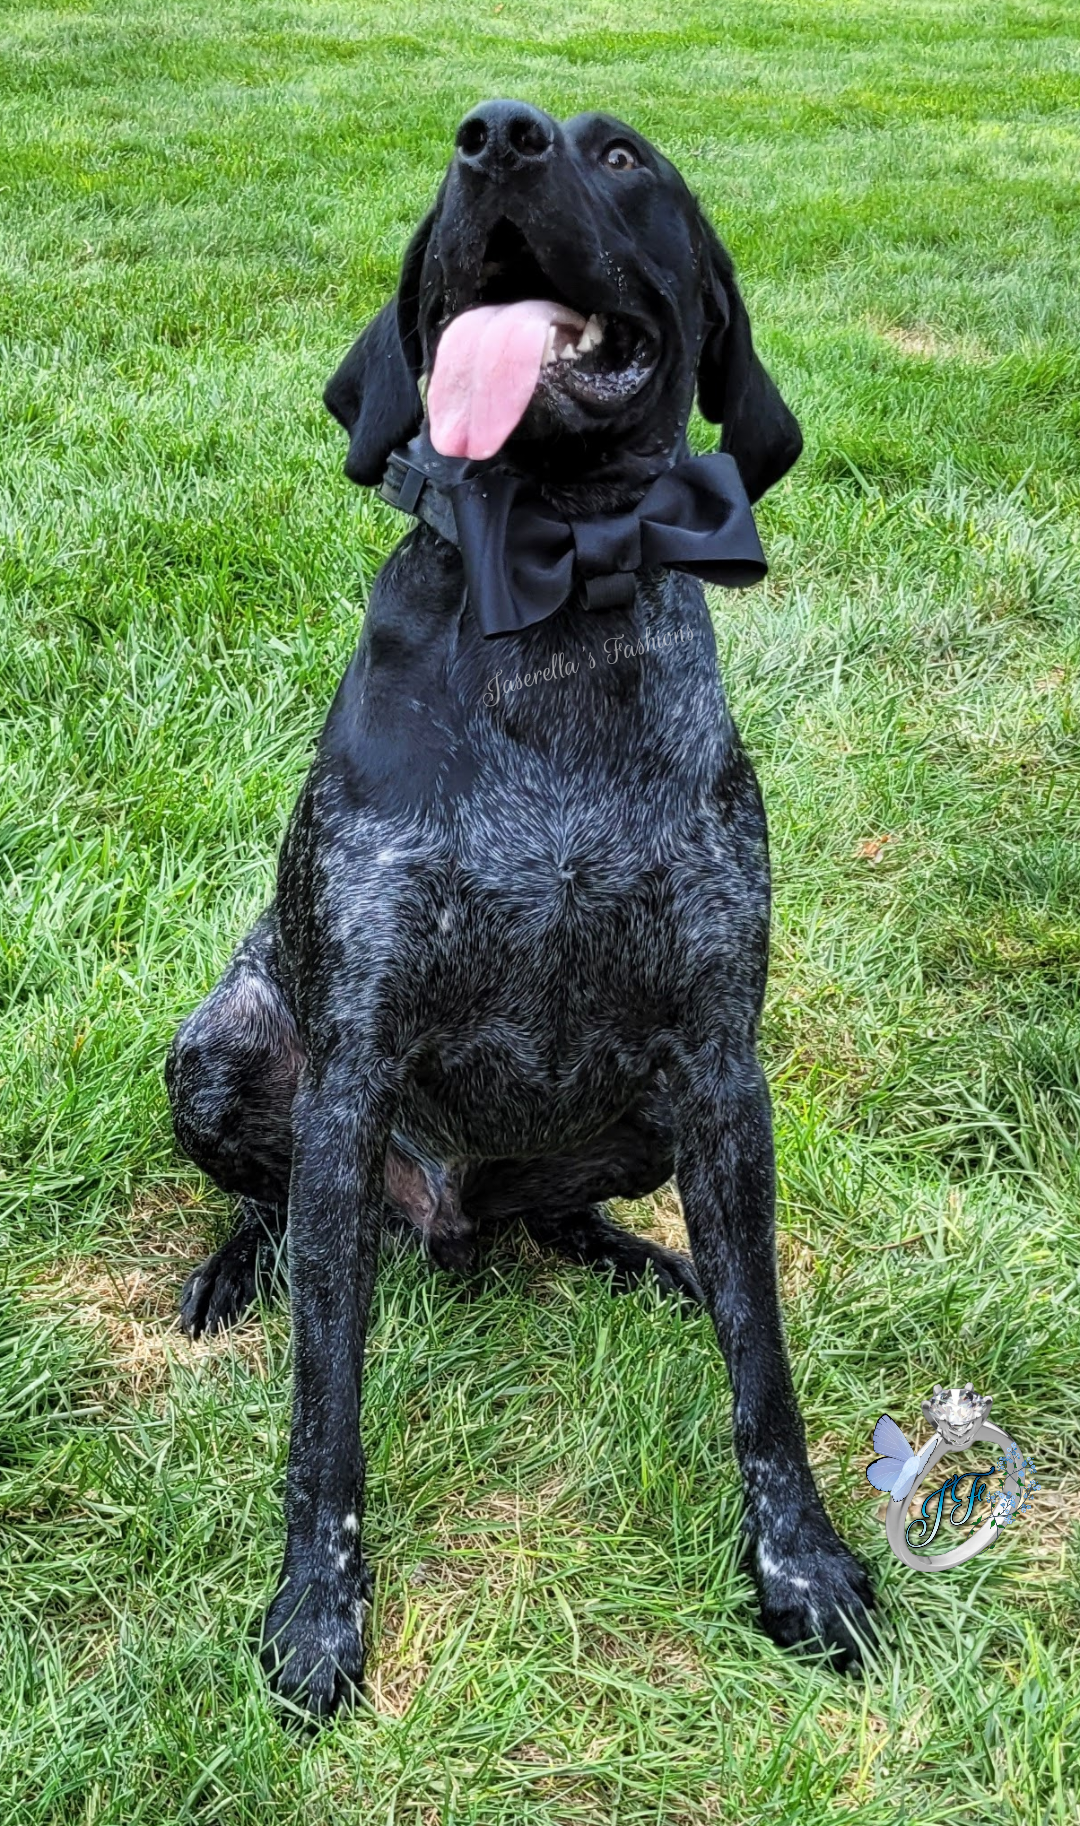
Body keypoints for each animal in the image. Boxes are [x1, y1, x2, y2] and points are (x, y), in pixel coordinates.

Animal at [169, 106, 877, 1716]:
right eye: (465, 160)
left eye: (622, 160)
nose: (499, 137)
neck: (554, 586)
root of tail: (447, 1218)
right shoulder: (352, 1068)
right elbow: (325, 1408)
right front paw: (316, 1614)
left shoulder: (721, 1063)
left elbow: (765, 1362)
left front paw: (803, 1568)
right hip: (226, 1048)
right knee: (281, 1210)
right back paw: (241, 1265)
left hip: (645, 1120)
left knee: (568, 1219)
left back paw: (643, 1259)